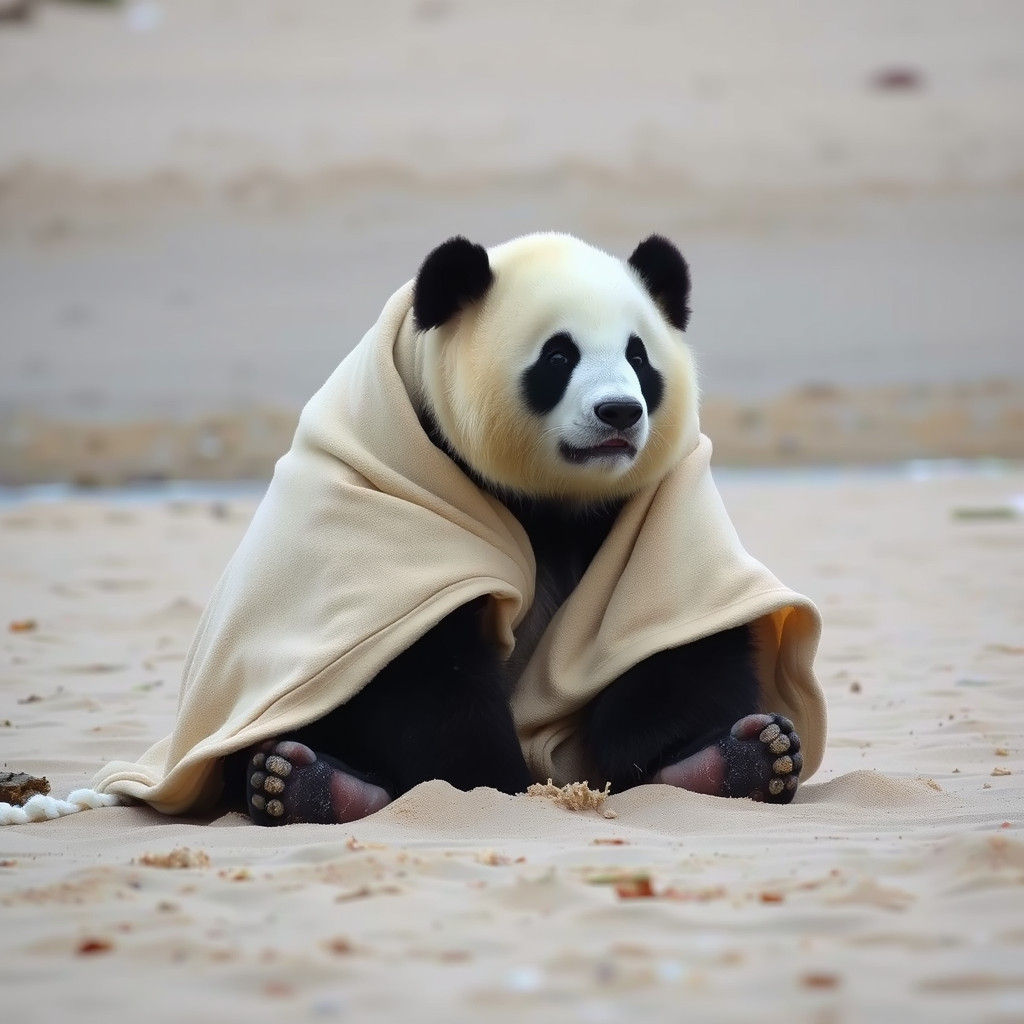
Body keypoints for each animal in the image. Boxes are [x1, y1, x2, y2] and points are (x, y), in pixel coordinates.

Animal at [233, 233, 804, 826]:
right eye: (559, 356)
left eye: (638, 356)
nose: (620, 411)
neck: (555, 503)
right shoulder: (393, 507)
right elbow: (417, 661)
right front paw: (489, 783)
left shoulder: (661, 510)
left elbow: (675, 634)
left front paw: (694, 762)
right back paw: (307, 783)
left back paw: (745, 758)